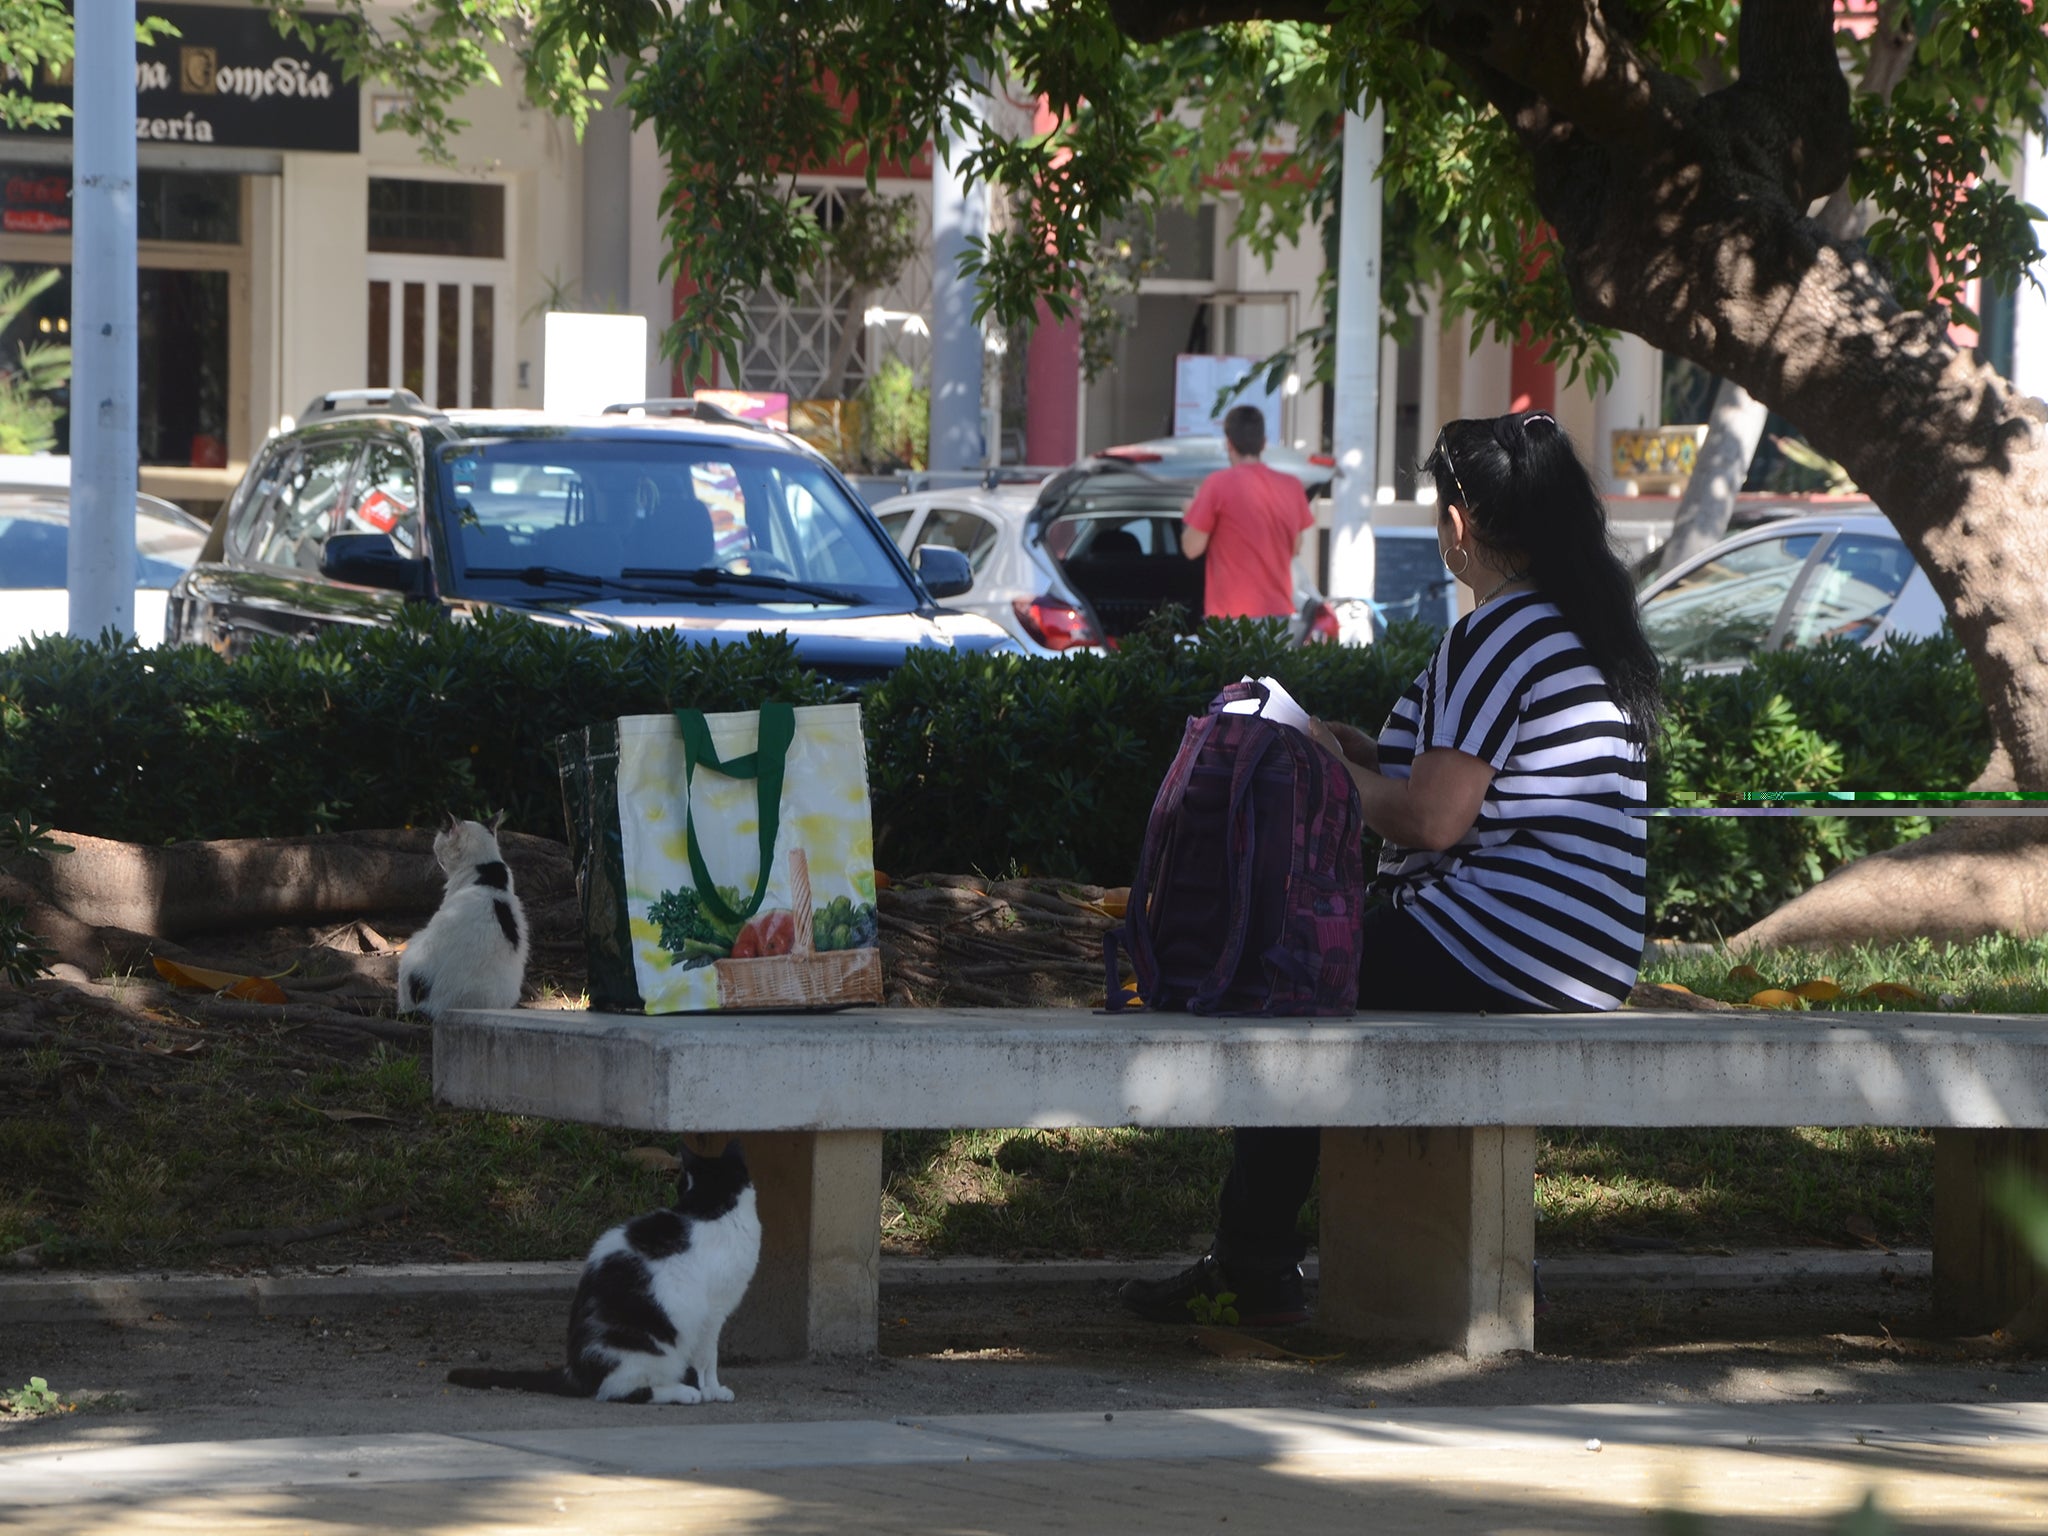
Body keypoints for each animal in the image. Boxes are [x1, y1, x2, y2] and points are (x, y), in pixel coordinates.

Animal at [448, 1146, 761, 1409]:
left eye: (680, 1186)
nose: (676, 1192)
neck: (714, 1208)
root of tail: (575, 1371)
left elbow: (705, 1359)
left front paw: (711, 1389)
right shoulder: (713, 1313)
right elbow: (708, 1359)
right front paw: (712, 1390)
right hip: (646, 1349)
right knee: (620, 1391)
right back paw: (683, 1392)